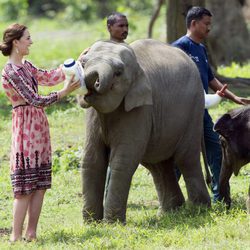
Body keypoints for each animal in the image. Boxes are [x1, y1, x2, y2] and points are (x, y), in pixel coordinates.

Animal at [78, 38, 211, 222]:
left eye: (118, 73)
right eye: (83, 63)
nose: (93, 82)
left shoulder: (140, 108)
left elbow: (123, 161)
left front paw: (112, 223)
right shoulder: (94, 115)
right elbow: (92, 159)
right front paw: (92, 223)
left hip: (194, 109)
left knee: (186, 158)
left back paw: (200, 209)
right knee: (158, 165)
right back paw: (170, 212)